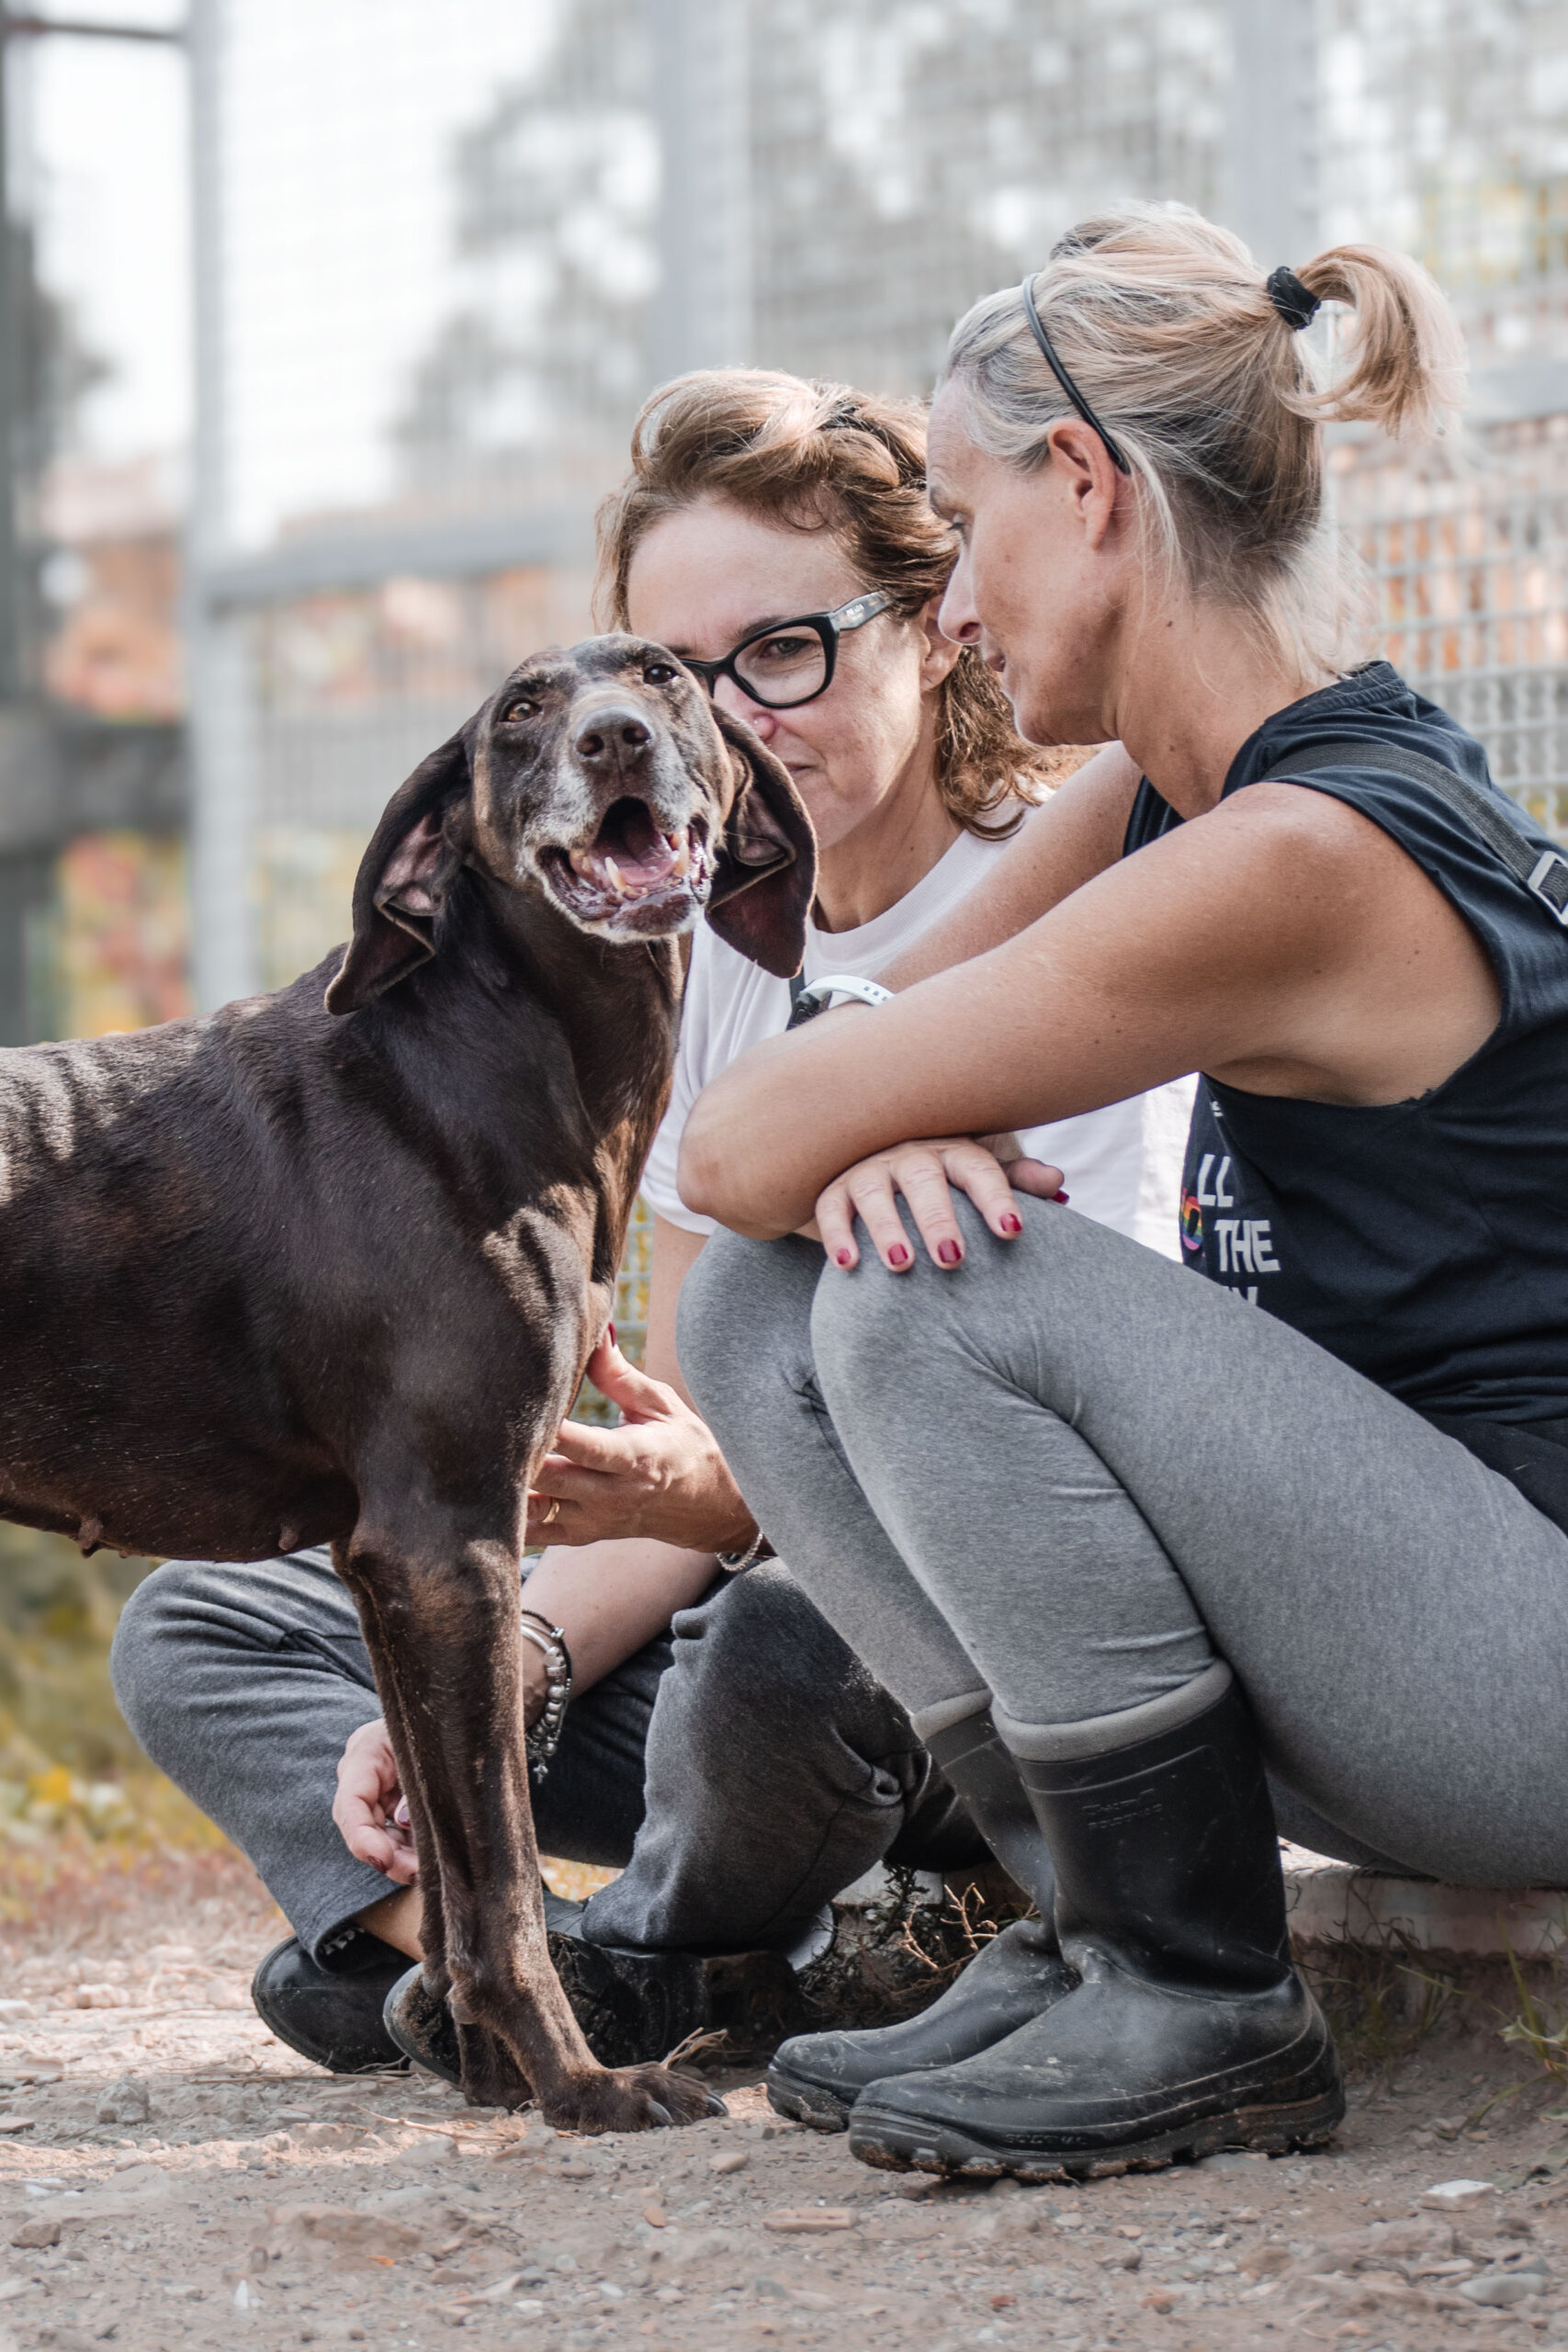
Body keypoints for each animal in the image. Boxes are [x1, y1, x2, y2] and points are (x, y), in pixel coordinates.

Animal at [0, 634, 814, 2131]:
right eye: (522, 712)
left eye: (662, 676)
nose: (614, 739)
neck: (489, 1056)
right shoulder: (450, 1547)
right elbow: (498, 1877)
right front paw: (577, 2084)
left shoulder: (391, 1567)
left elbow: (443, 1864)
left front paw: (485, 2072)